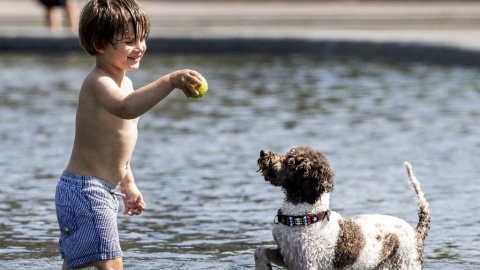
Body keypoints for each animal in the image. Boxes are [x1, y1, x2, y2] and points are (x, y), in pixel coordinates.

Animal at [255, 147, 432, 268]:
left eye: (289, 161)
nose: (262, 152)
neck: (304, 217)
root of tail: (417, 231)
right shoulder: (287, 256)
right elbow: (259, 250)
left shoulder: (309, 264)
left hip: (406, 263)